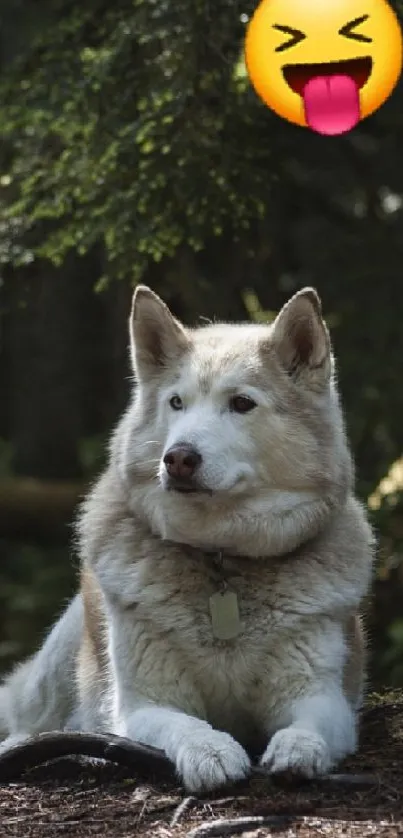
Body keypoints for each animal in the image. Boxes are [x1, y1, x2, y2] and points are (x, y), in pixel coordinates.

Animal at [0, 286, 376, 792]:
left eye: (242, 404)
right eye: (176, 403)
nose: (178, 458)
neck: (221, 559)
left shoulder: (321, 695)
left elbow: (308, 727)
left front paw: (298, 750)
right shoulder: (144, 705)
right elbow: (186, 725)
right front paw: (211, 752)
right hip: (59, 664)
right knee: (31, 722)